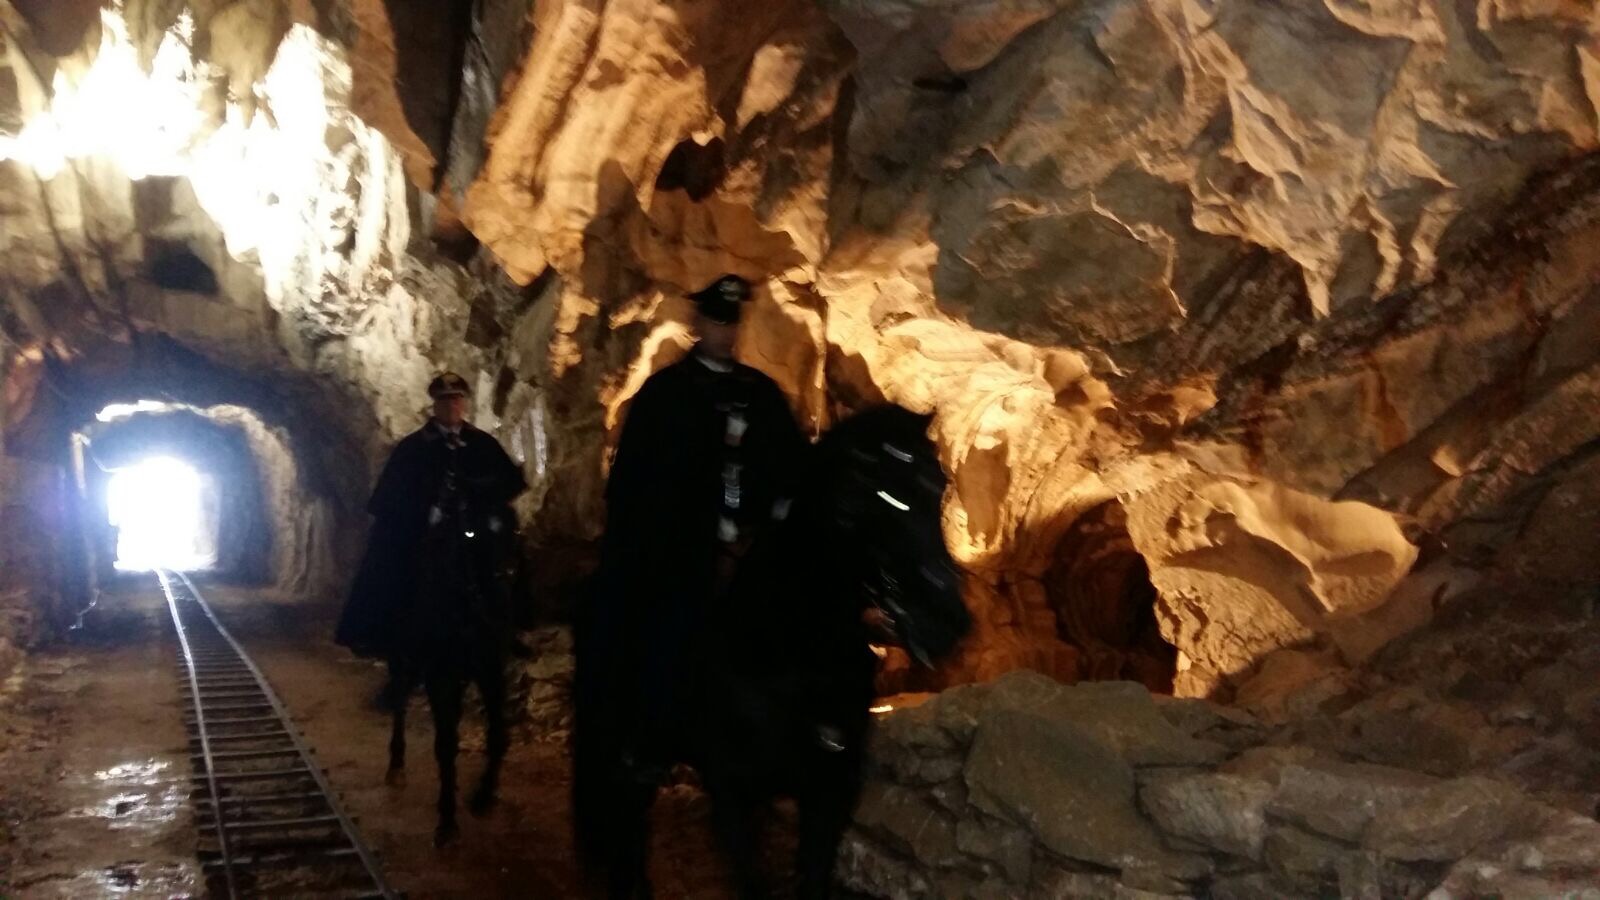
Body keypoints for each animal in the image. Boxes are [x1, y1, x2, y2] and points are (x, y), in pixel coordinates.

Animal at [384, 466, 514, 847]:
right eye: (470, 531)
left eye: (512, 525)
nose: (500, 602)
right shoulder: (438, 675)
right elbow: (444, 744)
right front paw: (446, 821)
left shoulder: (491, 669)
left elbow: (498, 734)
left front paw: (483, 797)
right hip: (405, 657)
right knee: (400, 698)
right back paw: (396, 765)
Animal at [574, 404, 971, 898]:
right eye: (858, 498)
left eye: (937, 485)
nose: (946, 620)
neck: (788, 655)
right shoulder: (732, 796)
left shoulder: (828, 793)